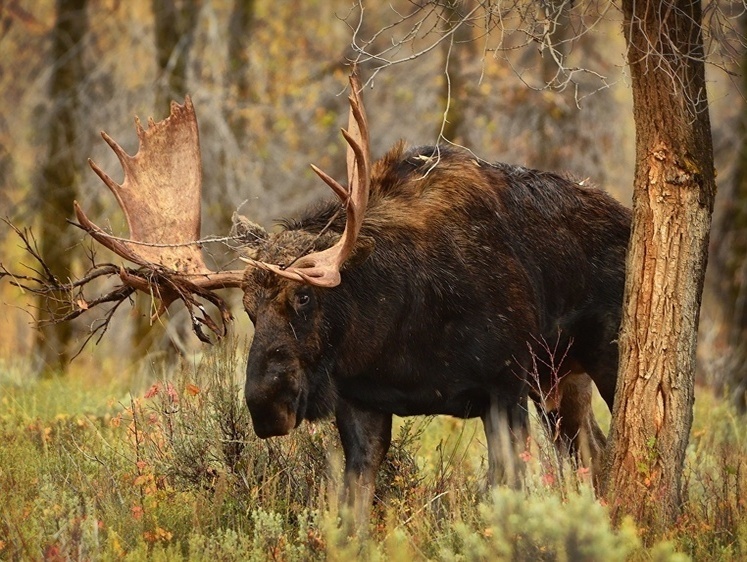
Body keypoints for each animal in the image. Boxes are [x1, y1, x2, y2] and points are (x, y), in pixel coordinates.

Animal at [64, 71, 632, 520]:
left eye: (305, 298)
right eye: (248, 310)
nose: (266, 405)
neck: (400, 333)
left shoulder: (505, 383)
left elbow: (503, 494)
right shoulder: (361, 402)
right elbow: (353, 510)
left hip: (600, 359)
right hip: (562, 380)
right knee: (596, 452)